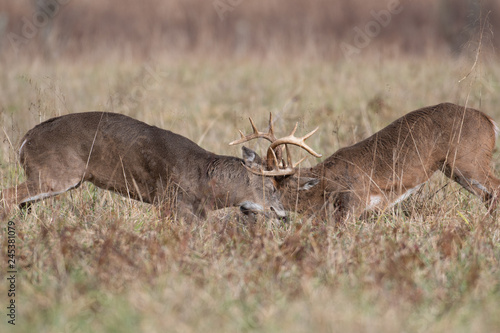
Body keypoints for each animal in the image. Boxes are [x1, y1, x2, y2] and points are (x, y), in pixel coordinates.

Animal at [0, 111, 316, 220]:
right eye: (269, 186)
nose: (283, 215)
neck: (205, 179)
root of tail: (25, 139)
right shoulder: (172, 201)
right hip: (52, 174)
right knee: (8, 197)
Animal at [232, 102, 500, 222]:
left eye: (270, 188)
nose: (243, 207)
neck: (325, 185)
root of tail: (489, 121)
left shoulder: (354, 203)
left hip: (469, 161)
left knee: (495, 189)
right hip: (456, 169)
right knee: (488, 196)